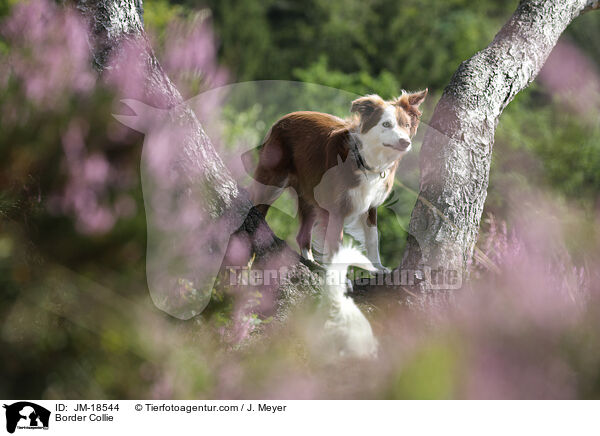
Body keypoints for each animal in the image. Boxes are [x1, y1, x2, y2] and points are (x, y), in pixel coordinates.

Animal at [251, 90, 428, 270]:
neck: (366, 159)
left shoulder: (371, 204)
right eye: (386, 124)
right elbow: (337, 244)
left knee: (302, 235)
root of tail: (280, 120)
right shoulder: (337, 208)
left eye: (406, 125)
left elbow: (373, 237)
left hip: (310, 194)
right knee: (257, 209)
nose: (405, 142)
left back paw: (311, 261)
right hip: (273, 183)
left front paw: (378, 268)